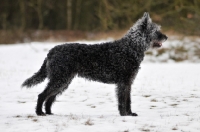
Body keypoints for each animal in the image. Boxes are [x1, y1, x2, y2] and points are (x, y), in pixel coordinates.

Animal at [21, 12, 167, 115]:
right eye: (156, 31)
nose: (166, 37)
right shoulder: (123, 83)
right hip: (59, 79)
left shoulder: (128, 83)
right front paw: (124, 115)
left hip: (63, 81)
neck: (130, 47)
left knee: (50, 98)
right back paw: (39, 113)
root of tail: (51, 51)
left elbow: (128, 101)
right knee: (42, 96)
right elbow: (122, 101)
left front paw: (130, 114)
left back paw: (49, 113)